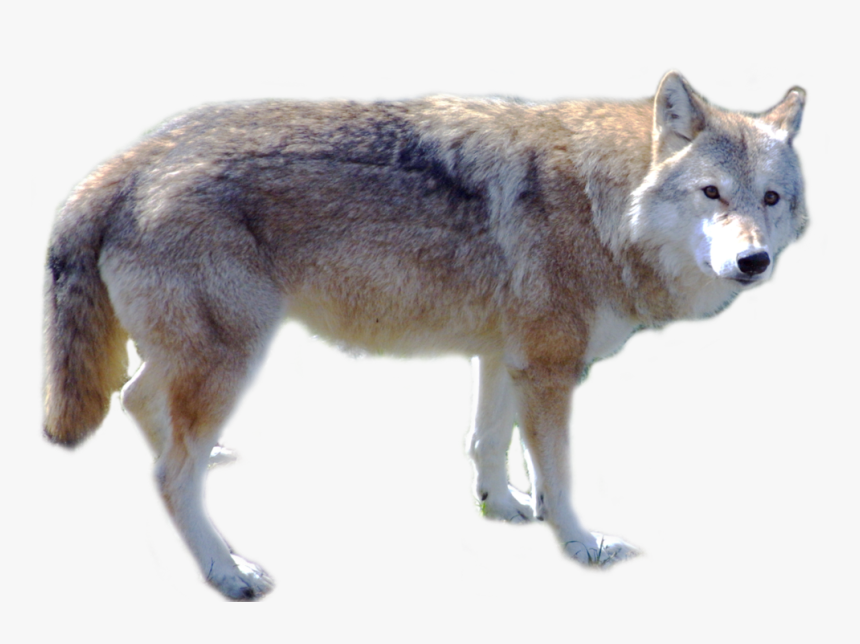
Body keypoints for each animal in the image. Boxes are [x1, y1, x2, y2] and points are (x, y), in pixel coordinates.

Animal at [43, 71, 807, 600]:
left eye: (771, 199)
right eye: (711, 193)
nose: (754, 262)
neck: (604, 206)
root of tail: (125, 163)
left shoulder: (506, 357)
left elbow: (489, 443)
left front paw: (503, 509)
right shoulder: (550, 371)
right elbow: (557, 476)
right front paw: (580, 544)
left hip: (196, 359)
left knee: (141, 404)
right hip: (234, 355)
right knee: (171, 474)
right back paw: (228, 571)